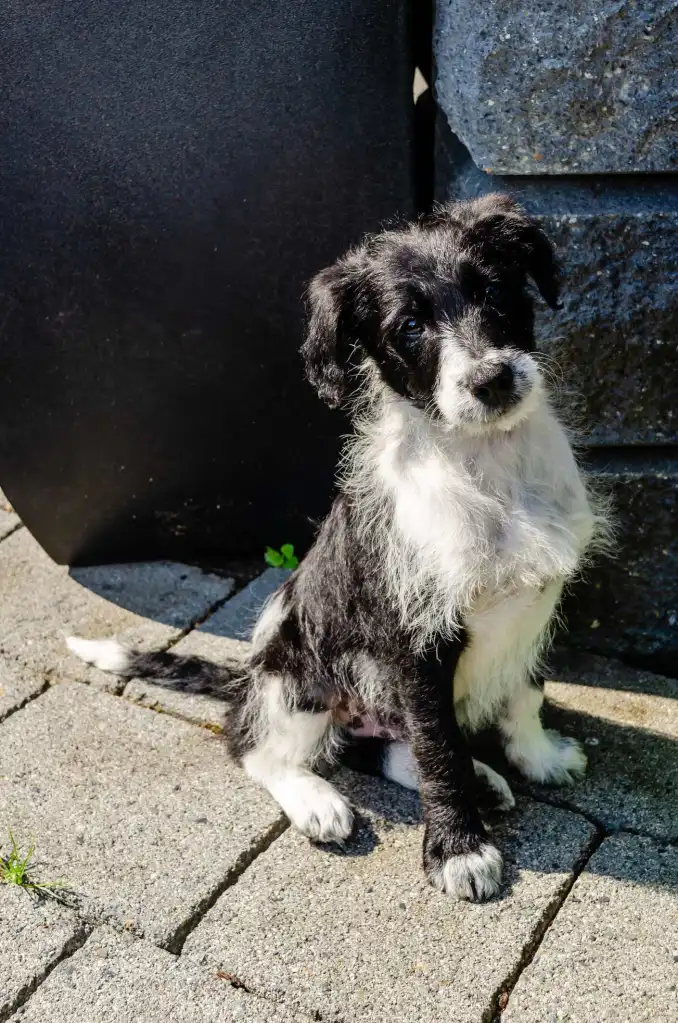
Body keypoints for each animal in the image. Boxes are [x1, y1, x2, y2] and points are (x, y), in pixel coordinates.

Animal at [70, 195, 609, 900]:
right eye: (410, 326)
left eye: (495, 291)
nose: (491, 380)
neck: (488, 464)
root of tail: (248, 677)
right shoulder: (416, 643)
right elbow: (439, 750)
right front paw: (460, 853)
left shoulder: (536, 608)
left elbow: (524, 692)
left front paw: (538, 757)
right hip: (297, 673)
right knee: (253, 745)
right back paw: (317, 801)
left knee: (379, 746)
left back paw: (484, 779)